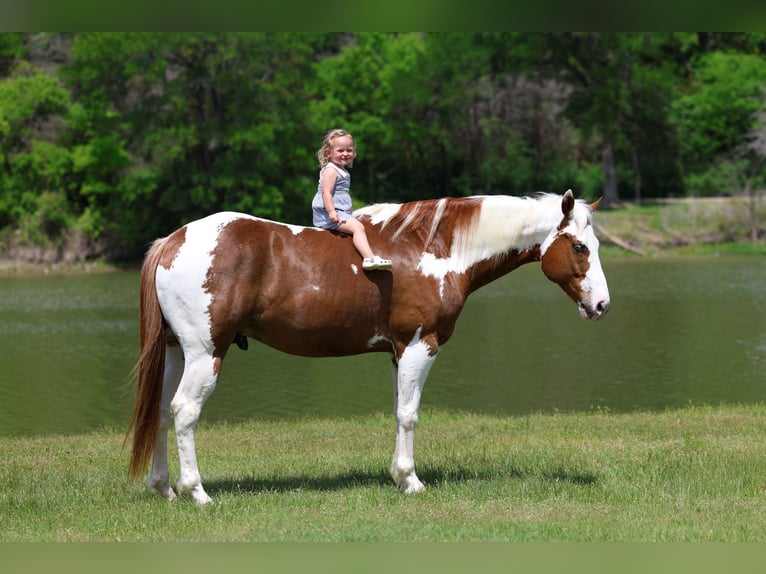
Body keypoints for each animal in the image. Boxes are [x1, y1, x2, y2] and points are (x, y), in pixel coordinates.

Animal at [127, 189, 610, 504]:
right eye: (579, 247)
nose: (602, 305)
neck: (433, 249)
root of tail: (173, 240)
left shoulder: (398, 352)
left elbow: (398, 411)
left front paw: (398, 476)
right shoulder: (419, 345)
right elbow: (409, 415)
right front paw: (410, 481)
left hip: (176, 352)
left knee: (162, 412)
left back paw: (164, 488)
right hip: (205, 354)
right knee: (185, 412)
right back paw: (196, 492)